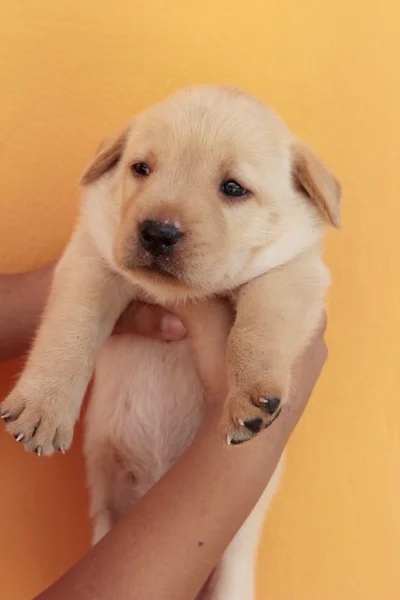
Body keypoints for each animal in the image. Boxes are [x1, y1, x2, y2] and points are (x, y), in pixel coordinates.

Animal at [0, 85, 340, 600]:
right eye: (141, 168)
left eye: (233, 188)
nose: (157, 232)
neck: (177, 296)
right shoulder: (91, 256)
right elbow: (70, 328)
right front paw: (44, 406)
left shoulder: (293, 272)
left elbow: (261, 325)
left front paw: (251, 394)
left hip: (230, 581)